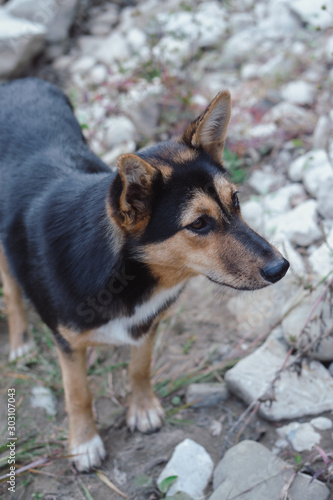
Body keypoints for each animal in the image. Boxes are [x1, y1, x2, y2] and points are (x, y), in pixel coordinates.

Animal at [0, 79, 288, 472]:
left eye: (236, 201)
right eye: (199, 224)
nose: (281, 268)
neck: (124, 272)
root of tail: (19, 82)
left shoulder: (147, 322)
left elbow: (140, 367)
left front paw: (143, 408)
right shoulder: (67, 342)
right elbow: (78, 392)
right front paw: (84, 442)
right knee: (12, 289)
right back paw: (20, 341)